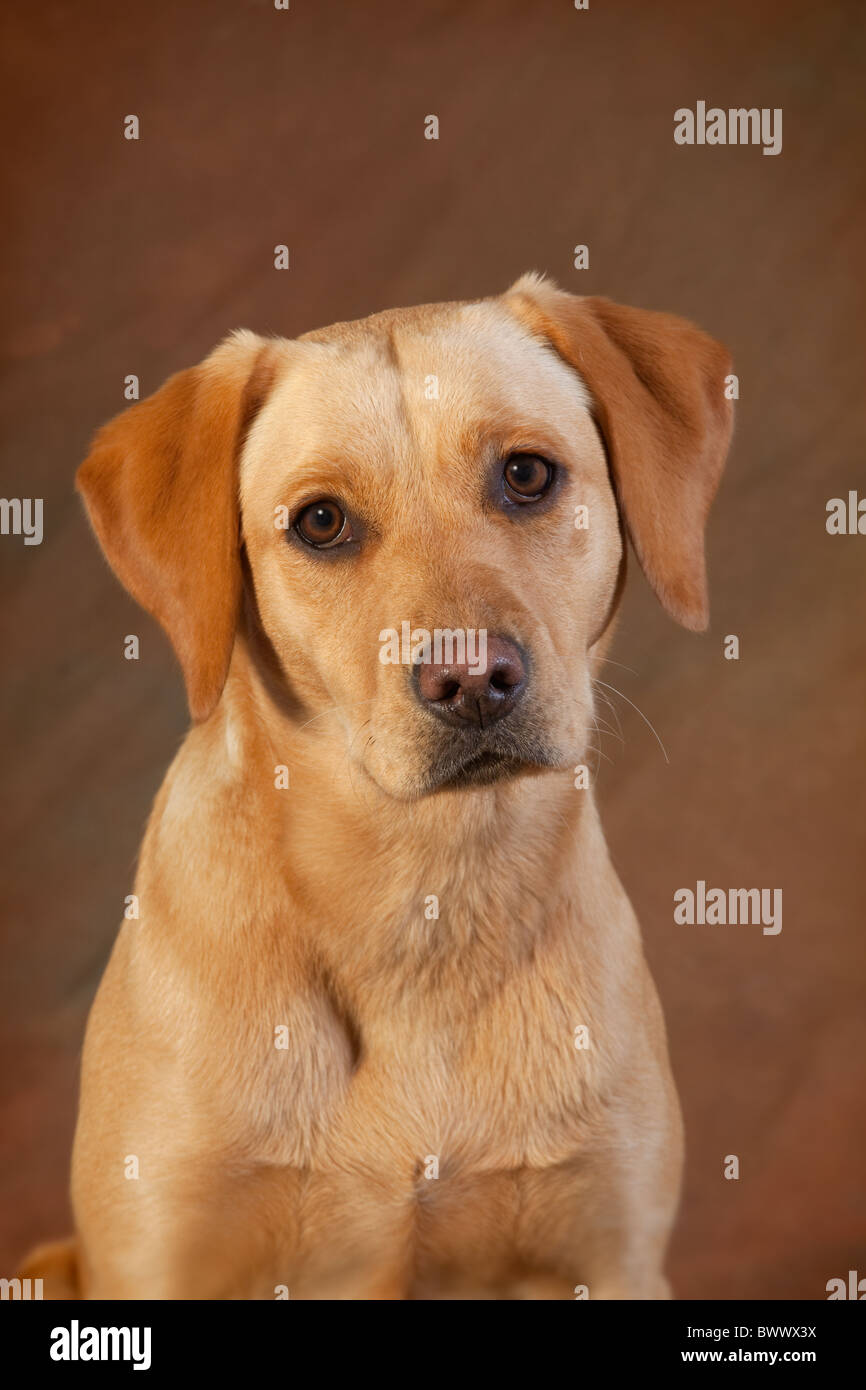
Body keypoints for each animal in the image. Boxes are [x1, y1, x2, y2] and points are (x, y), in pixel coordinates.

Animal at [20, 276, 733, 1295]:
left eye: (527, 474)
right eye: (321, 522)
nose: (472, 680)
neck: (422, 893)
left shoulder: (613, 1250)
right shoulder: (157, 1259)